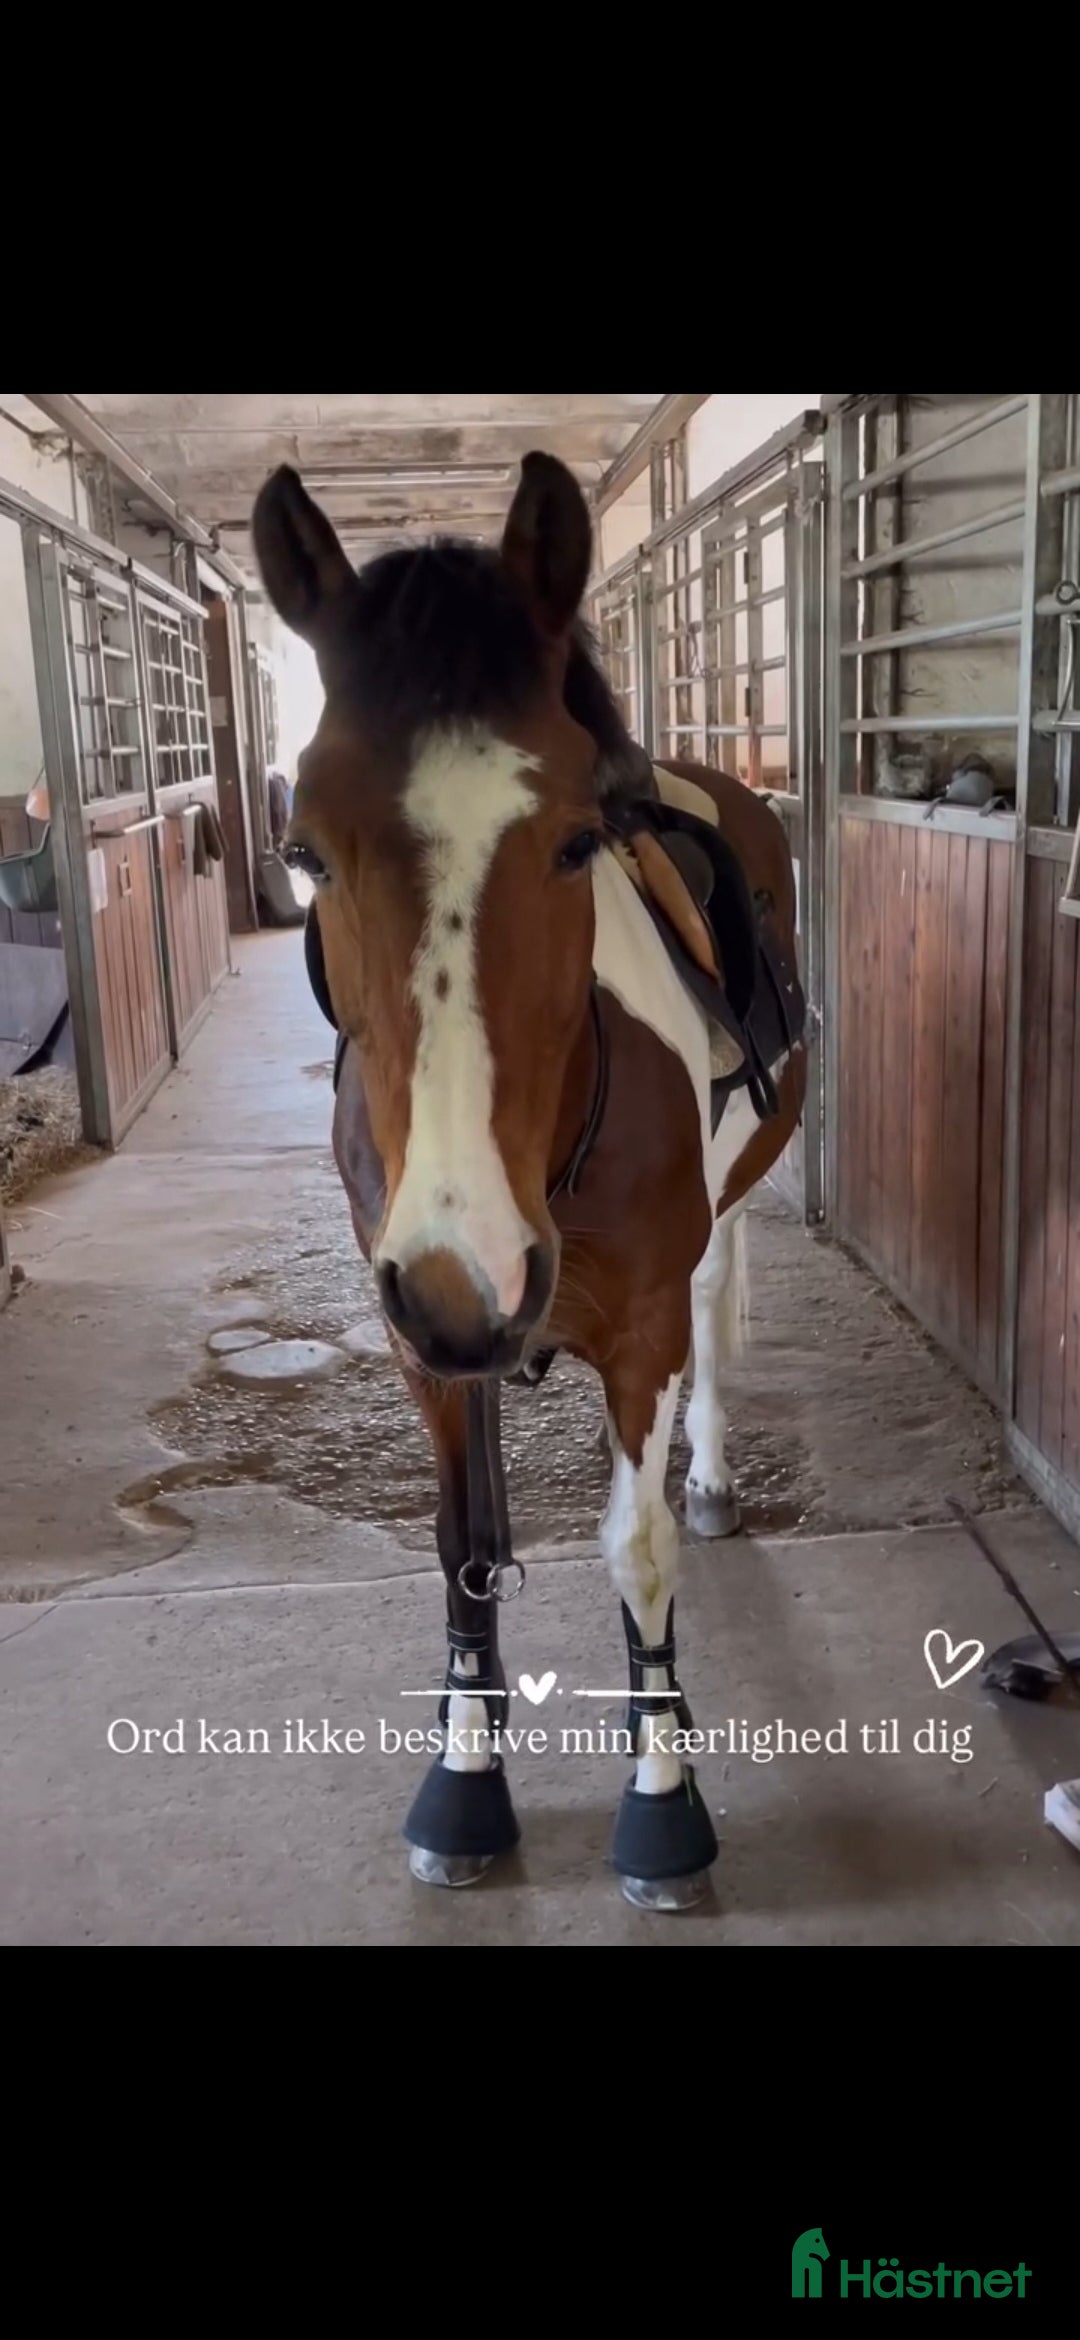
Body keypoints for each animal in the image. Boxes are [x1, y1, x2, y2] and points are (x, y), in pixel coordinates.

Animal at [252, 451, 807, 1913]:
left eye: (570, 841)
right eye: (304, 850)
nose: (473, 1271)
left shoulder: (638, 1332)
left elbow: (636, 1547)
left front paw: (662, 1803)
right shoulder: (421, 1337)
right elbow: (464, 1553)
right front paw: (464, 1780)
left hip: (724, 1212)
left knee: (718, 1316)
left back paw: (713, 1475)